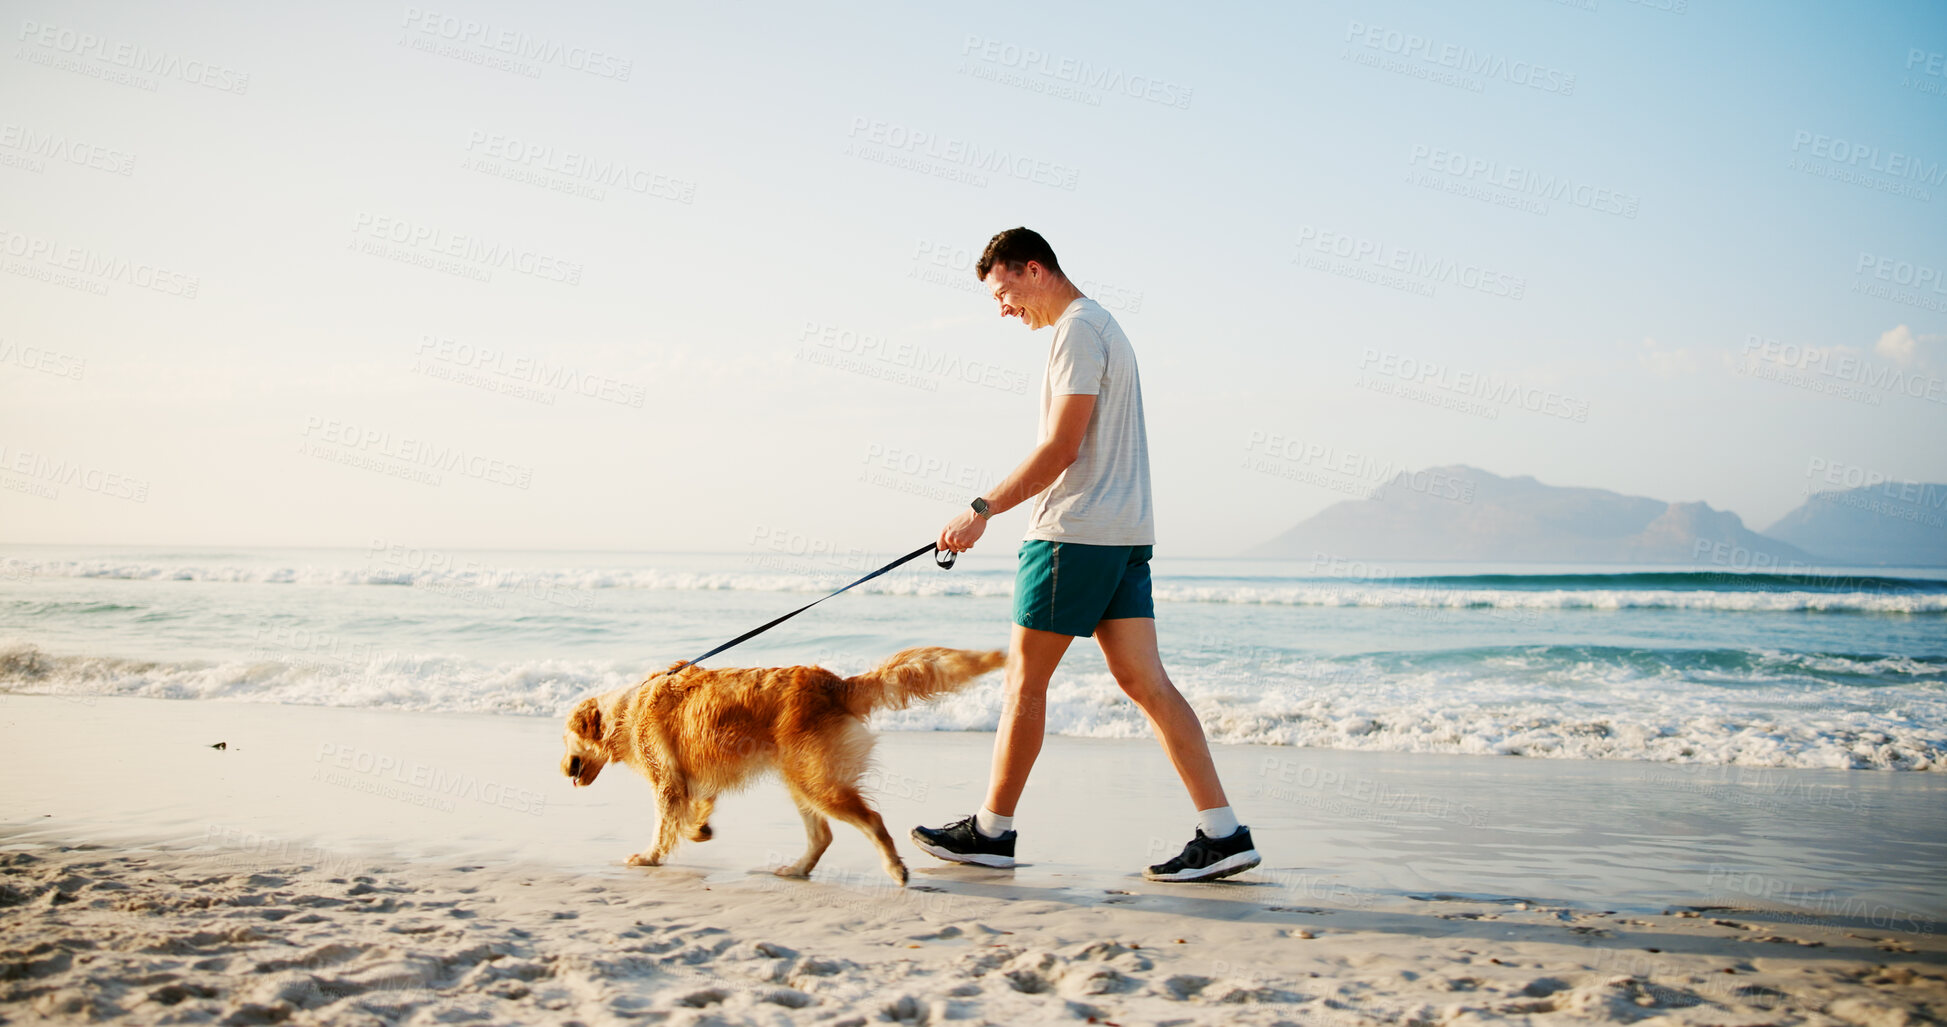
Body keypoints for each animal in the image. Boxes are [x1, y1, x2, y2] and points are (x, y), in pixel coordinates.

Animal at [556, 650, 996, 884]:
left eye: (564, 738)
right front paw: (700, 829)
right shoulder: (693, 778)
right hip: (800, 781)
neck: (626, 711)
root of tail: (836, 684)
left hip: (816, 781)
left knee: (872, 820)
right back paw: (796, 869)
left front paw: (649, 856)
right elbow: (698, 807)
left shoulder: (666, 782)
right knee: (822, 836)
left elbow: (663, 826)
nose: (561, 769)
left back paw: (895, 868)